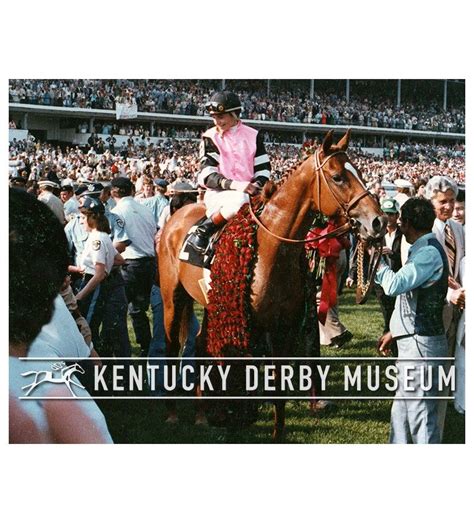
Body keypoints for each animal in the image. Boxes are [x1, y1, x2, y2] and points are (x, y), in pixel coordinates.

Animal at [157, 129, 386, 440]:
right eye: (338, 177)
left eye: (360, 172)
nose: (378, 222)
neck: (272, 247)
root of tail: (176, 218)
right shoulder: (249, 323)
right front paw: (234, 425)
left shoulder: (283, 327)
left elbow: (278, 386)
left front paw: (277, 434)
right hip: (173, 297)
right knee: (171, 346)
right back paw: (170, 413)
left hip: (212, 303)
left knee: (201, 342)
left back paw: (203, 414)